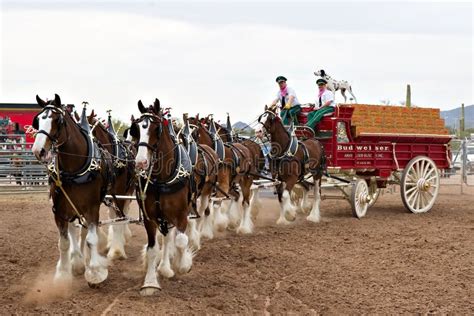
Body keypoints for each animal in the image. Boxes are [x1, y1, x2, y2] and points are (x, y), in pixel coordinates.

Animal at [31, 94, 113, 286]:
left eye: (57, 120)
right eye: (38, 120)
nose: (39, 150)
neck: (74, 169)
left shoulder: (92, 207)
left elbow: (91, 238)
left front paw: (95, 272)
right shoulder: (59, 210)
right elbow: (64, 242)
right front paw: (63, 273)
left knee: (84, 232)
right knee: (75, 231)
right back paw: (76, 260)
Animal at [130, 99, 193, 296]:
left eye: (156, 128)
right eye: (135, 129)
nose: (141, 162)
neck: (162, 179)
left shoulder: (182, 214)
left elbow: (181, 241)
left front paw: (183, 264)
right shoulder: (149, 217)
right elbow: (153, 248)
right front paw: (150, 282)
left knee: (172, 237)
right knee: (165, 238)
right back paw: (164, 267)